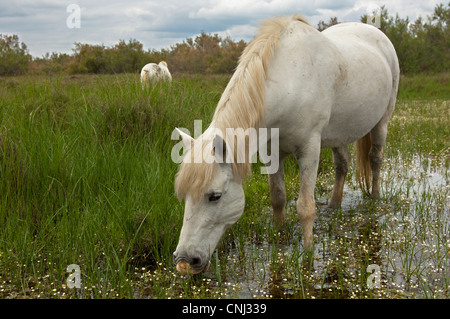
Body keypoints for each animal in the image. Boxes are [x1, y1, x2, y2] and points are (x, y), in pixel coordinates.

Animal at [171, 14, 400, 278]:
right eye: (183, 196)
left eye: (214, 196)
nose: (185, 259)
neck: (290, 80)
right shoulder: (272, 152)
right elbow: (278, 197)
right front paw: (280, 238)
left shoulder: (309, 149)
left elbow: (305, 207)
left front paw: (308, 255)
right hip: (338, 134)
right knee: (342, 163)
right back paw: (333, 205)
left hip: (382, 122)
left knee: (375, 158)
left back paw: (375, 198)